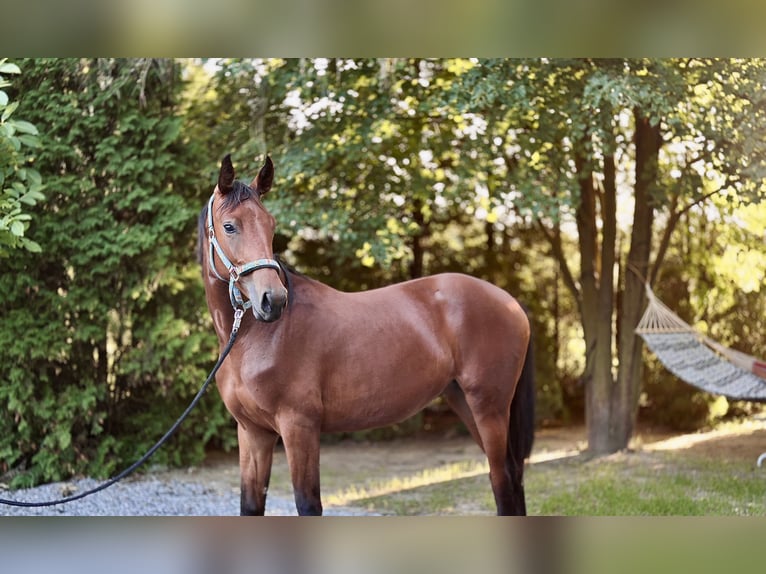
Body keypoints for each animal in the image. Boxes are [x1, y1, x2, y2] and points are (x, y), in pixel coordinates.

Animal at [198, 154, 536, 516]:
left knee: (502, 479)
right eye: (229, 226)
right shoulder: (253, 432)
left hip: (489, 407)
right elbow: (251, 504)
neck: (255, 339)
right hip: (464, 401)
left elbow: (307, 503)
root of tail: (510, 301)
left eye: (271, 225)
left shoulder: (299, 427)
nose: (272, 300)